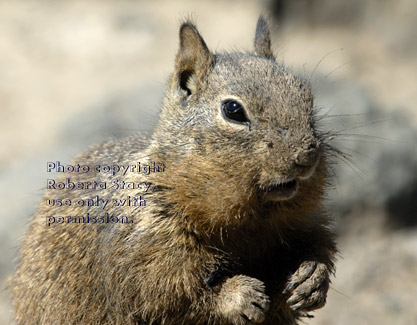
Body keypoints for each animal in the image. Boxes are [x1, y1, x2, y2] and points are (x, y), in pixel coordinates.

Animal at [12, 15, 338, 324]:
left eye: (306, 94)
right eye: (233, 110)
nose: (306, 156)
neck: (248, 220)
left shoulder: (304, 224)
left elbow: (318, 247)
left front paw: (312, 277)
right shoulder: (145, 245)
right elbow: (168, 293)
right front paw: (238, 296)